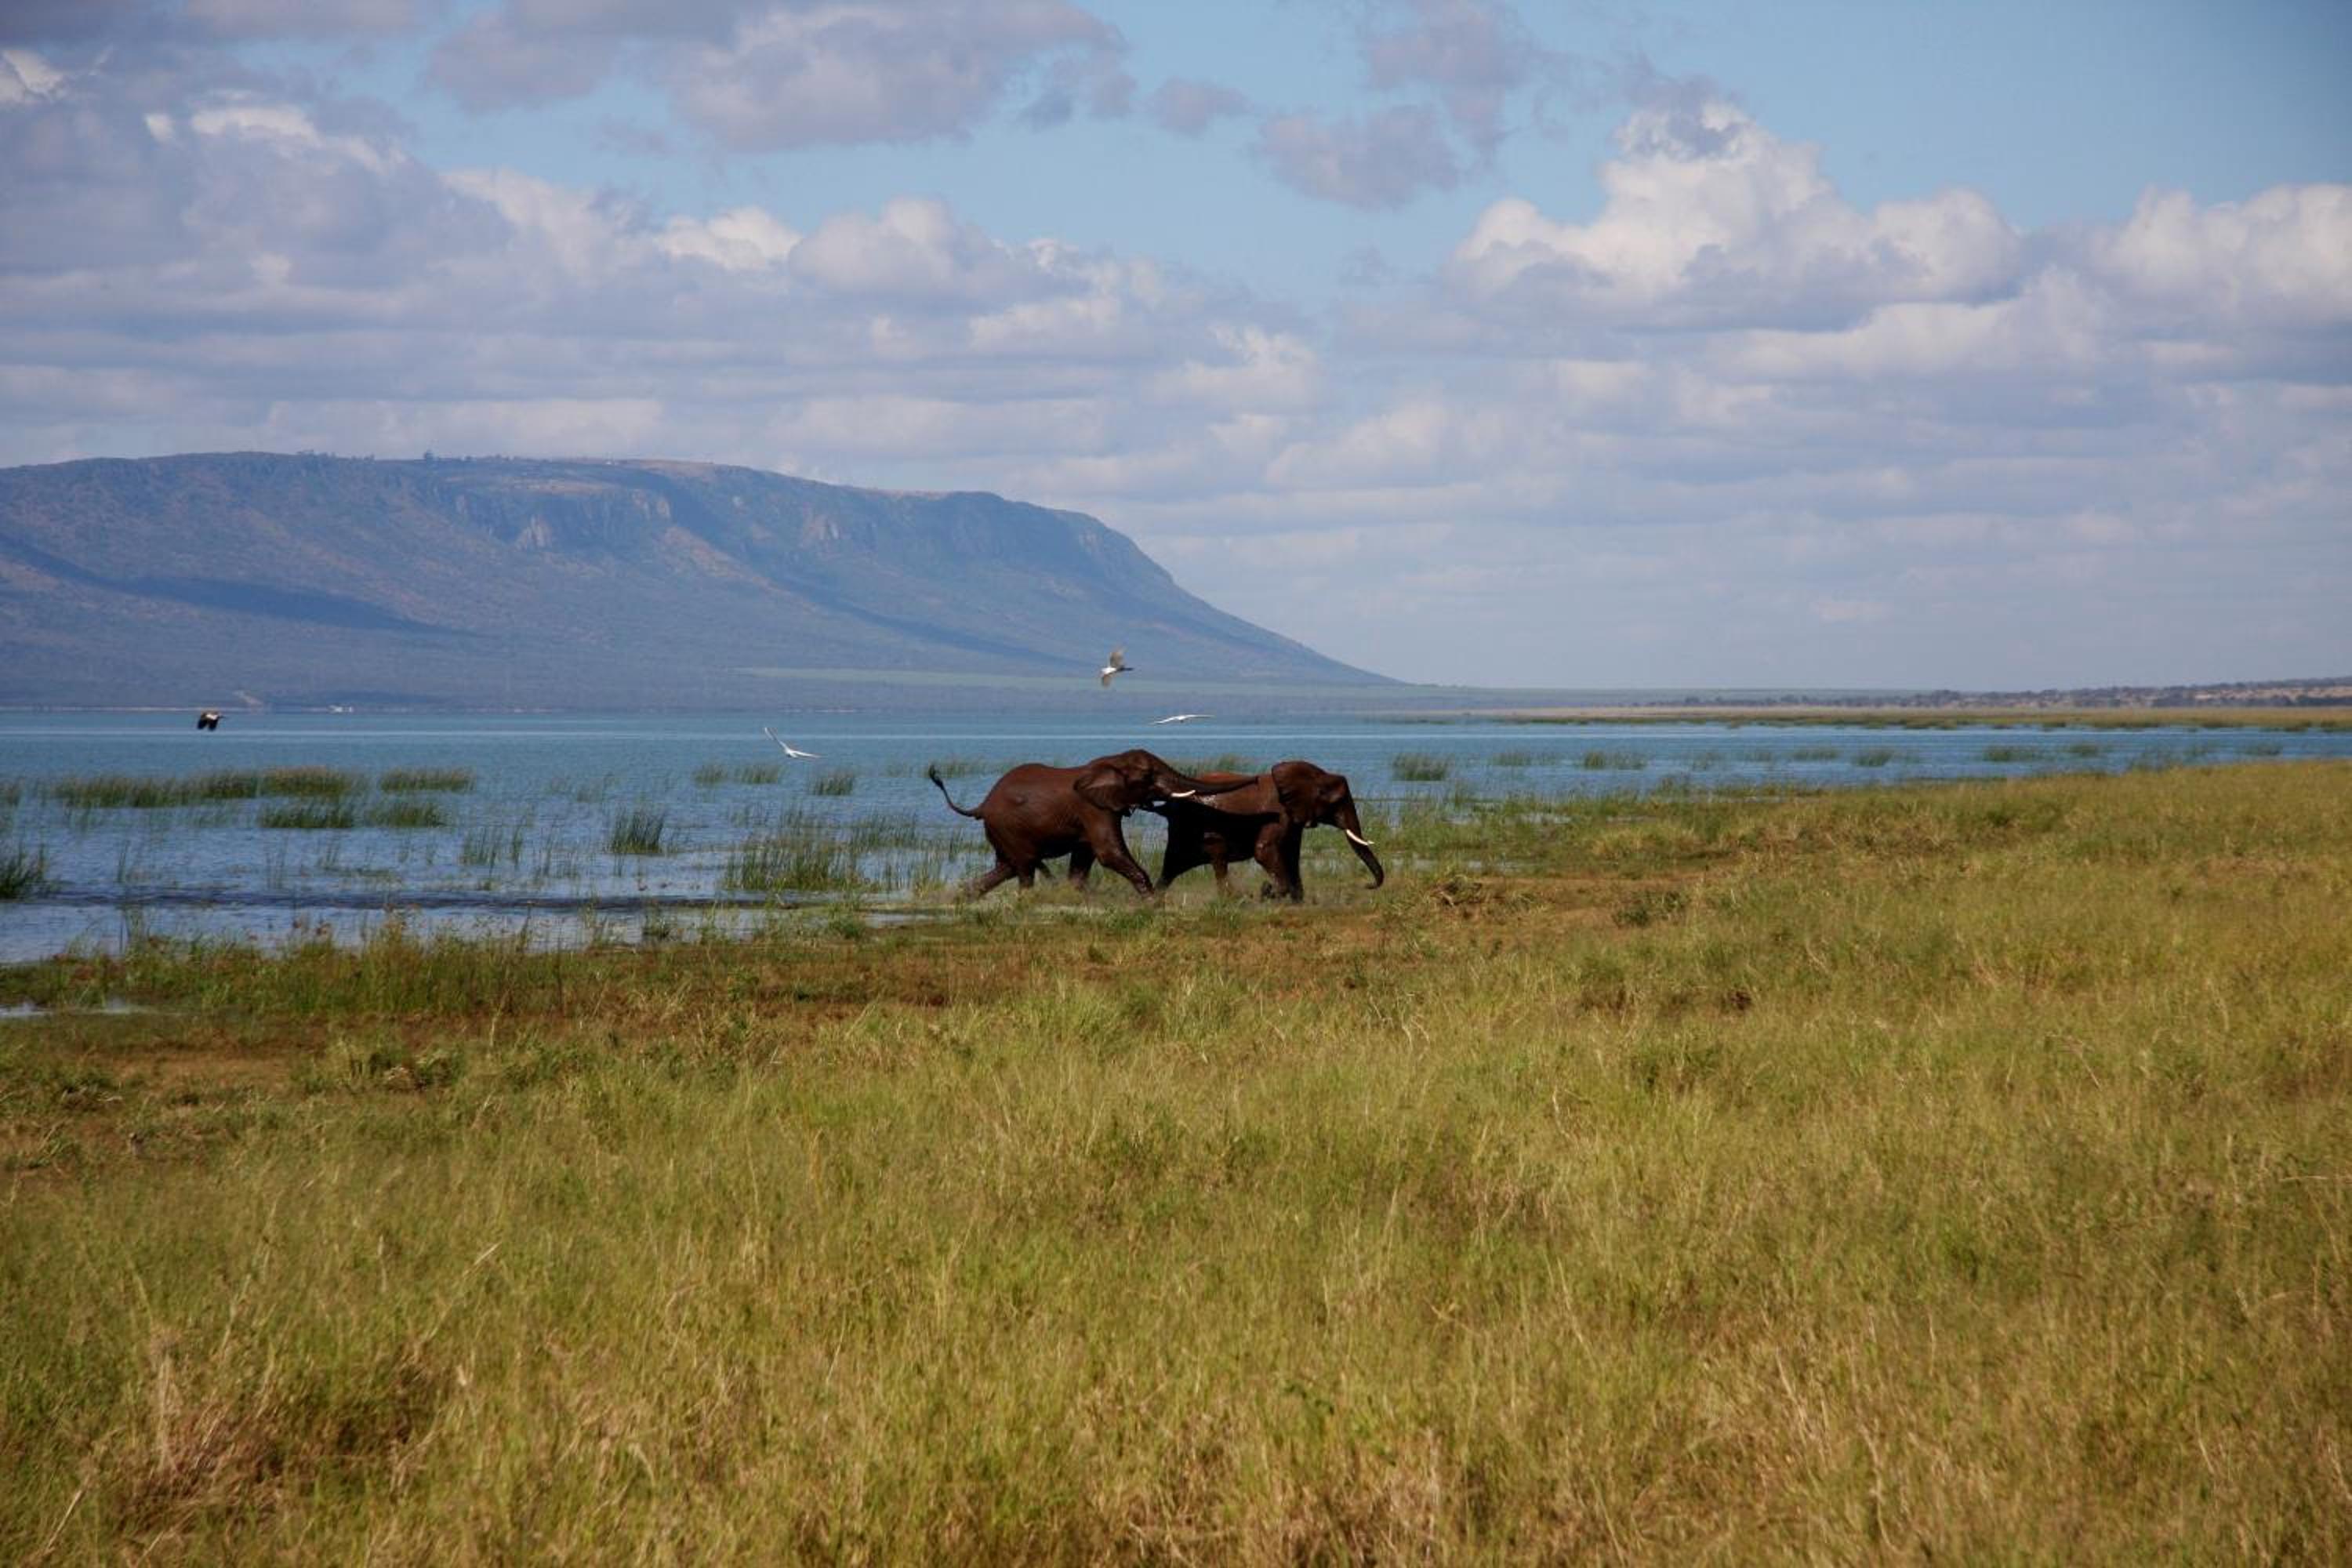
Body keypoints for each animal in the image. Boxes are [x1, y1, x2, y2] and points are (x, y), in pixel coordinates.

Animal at [927, 749, 1216, 899]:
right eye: (1149, 776)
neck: (1112, 760)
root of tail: (982, 805)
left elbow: (1083, 861)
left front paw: (1081, 897)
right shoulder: (1093, 809)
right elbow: (1109, 853)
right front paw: (1152, 903)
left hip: (1001, 830)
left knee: (1006, 867)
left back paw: (964, 897)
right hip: (1007, 827)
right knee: (1024, 867)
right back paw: (1024, 900)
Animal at [1153, 758, 1383, 901]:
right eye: (1338, 802)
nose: (1367, 886)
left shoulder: (1294, 817)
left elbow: (1292, 854)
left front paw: (1296, 902)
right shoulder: (1278, 814)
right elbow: (1264, 851)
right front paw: (1267, 892)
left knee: (1171, 867)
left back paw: (1154, 903)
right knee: (1217, 857)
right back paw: (1231, 900)